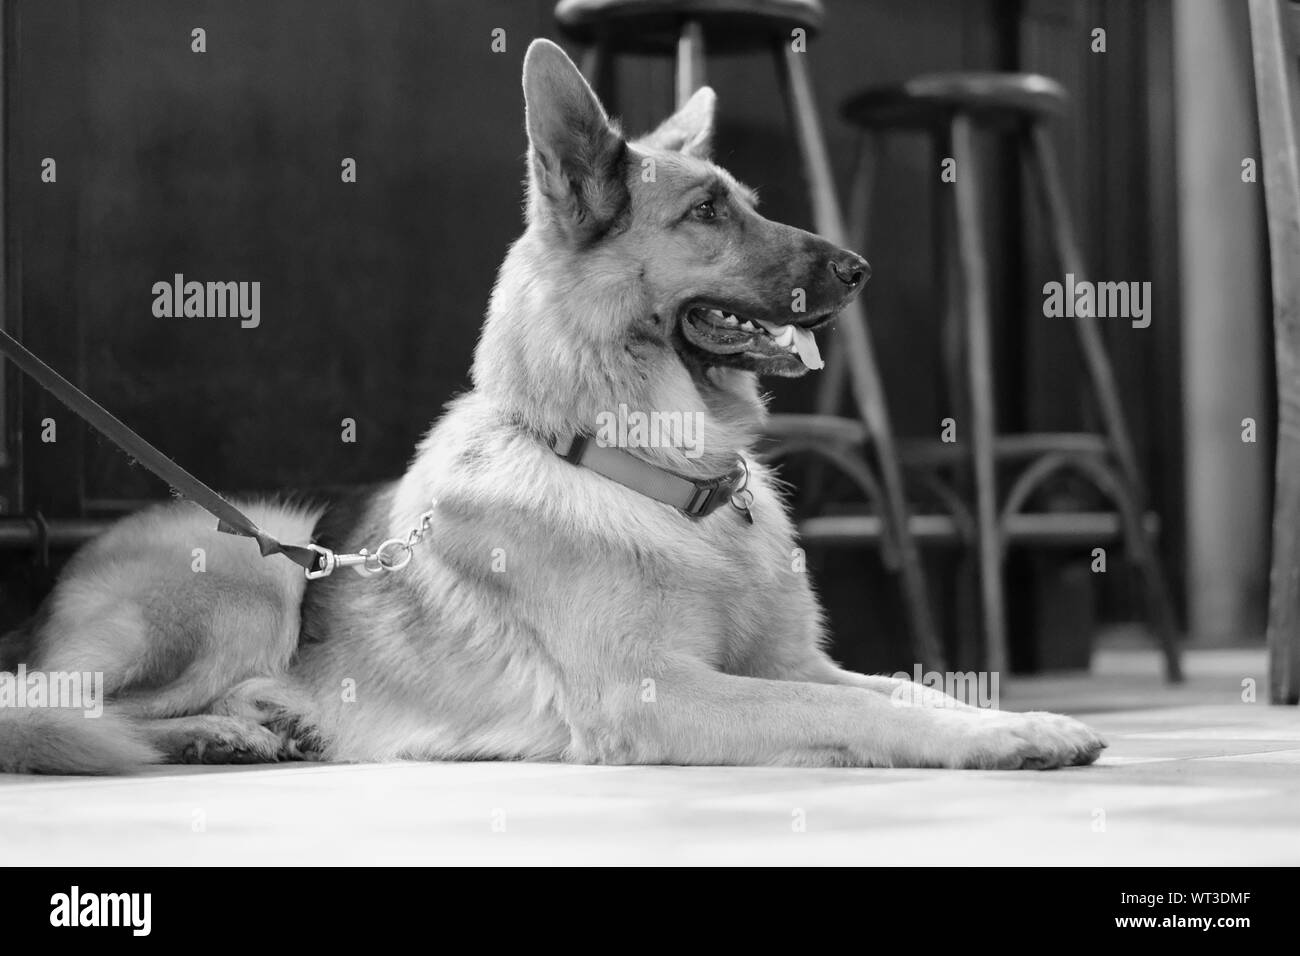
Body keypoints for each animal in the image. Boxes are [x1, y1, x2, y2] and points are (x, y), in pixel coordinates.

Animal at [0, 41, 1107, 780]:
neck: (659, 472)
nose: (859, 268)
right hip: (250, 566)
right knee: (59, 709)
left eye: (746, 199)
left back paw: (266, 723)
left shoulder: (797, 661)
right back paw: (214, 729)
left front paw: (1020, 720)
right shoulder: (666, 697)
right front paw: (1004, 737)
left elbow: (906, 688)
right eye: (708, 213)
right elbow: (872, 714)